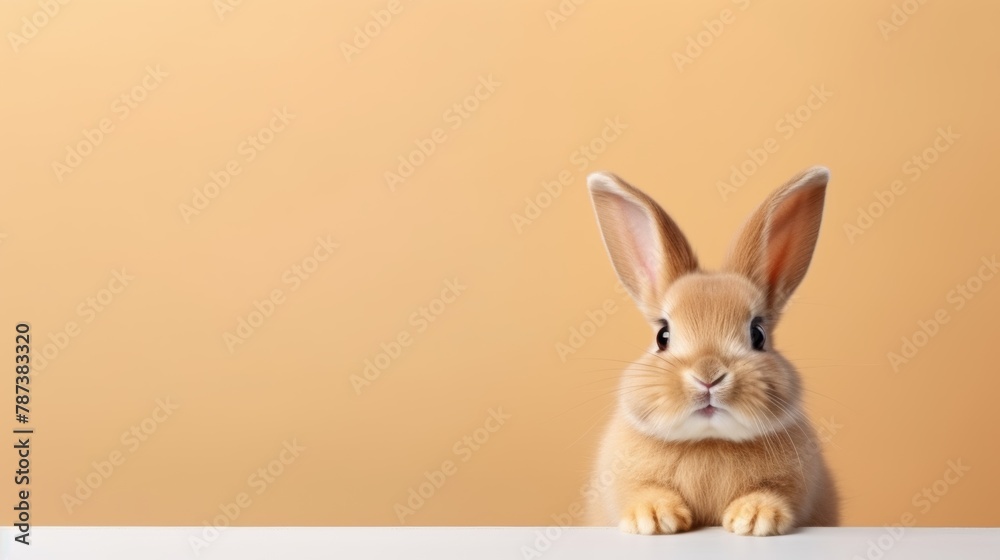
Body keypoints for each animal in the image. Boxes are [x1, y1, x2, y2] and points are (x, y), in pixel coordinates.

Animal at [582, 166, 839, 536]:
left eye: (758, 335)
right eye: (662, 335)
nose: (708, 376)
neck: (708, 441)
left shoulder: (797, 487)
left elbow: (775, 493)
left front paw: (754, 519)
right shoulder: (624, 483)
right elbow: (642, 490)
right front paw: (654, 518)